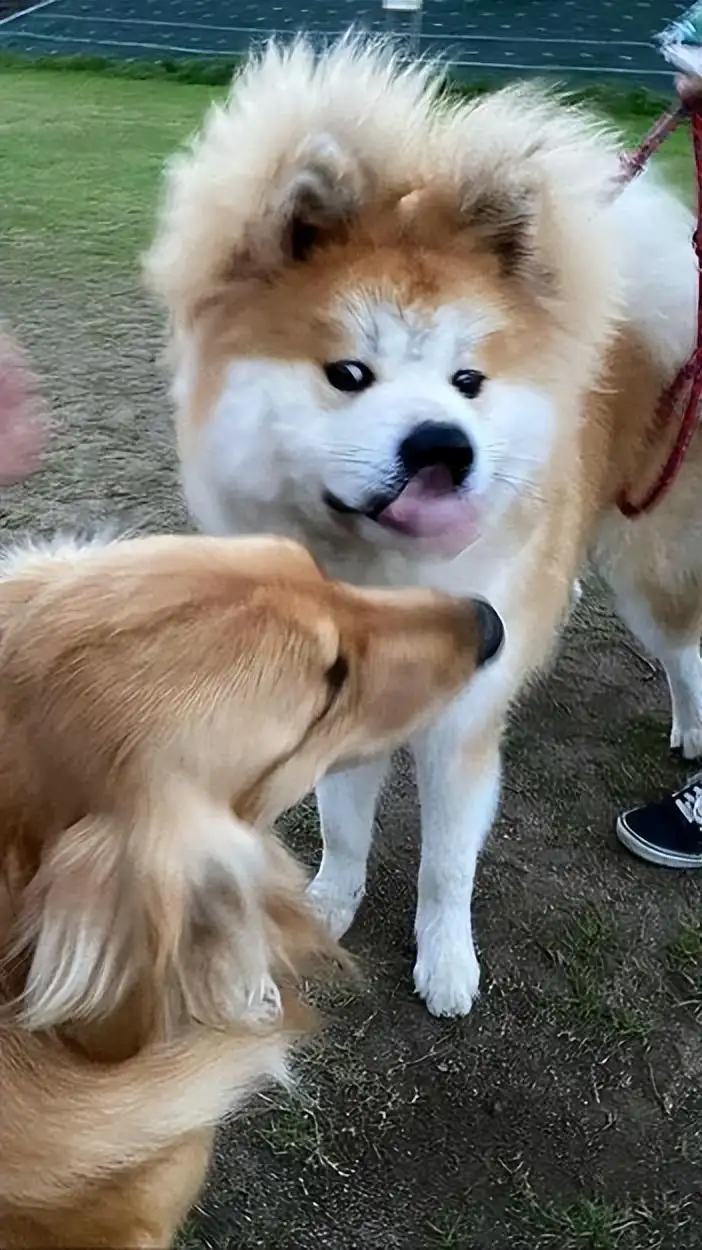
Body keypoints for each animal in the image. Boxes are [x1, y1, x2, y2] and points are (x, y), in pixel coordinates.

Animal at [143, 36, 699, 1015]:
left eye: (468, 382)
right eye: (348, 373)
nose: (445, 445)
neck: (389, 577)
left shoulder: (461, 735)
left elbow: (446, 866)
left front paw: (445, 962)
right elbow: (344, 830)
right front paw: (327, 908)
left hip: (651, 564)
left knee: (684, 650)